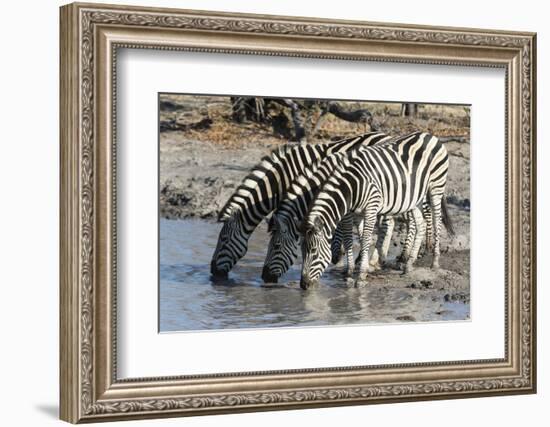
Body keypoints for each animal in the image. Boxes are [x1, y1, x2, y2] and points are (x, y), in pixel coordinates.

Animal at [209, 132, 394, 280]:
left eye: (224, 240)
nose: (212, 271)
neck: (282, 178)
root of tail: (386, 135)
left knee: (387, 222)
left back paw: (376, 259)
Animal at [264, 132, 444, 282]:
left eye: (276, 246)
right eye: (301, 250)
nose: (303, 285)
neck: (350, 185)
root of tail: (428, 134)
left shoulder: (369, 207)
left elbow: (363, 237)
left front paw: (361, 271)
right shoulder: (351, 211)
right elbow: (350, 236)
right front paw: (351, 268)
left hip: (435, 188)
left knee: (436, 220)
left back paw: (433, 262)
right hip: (412, 197)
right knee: (420, 223)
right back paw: (408, 264)